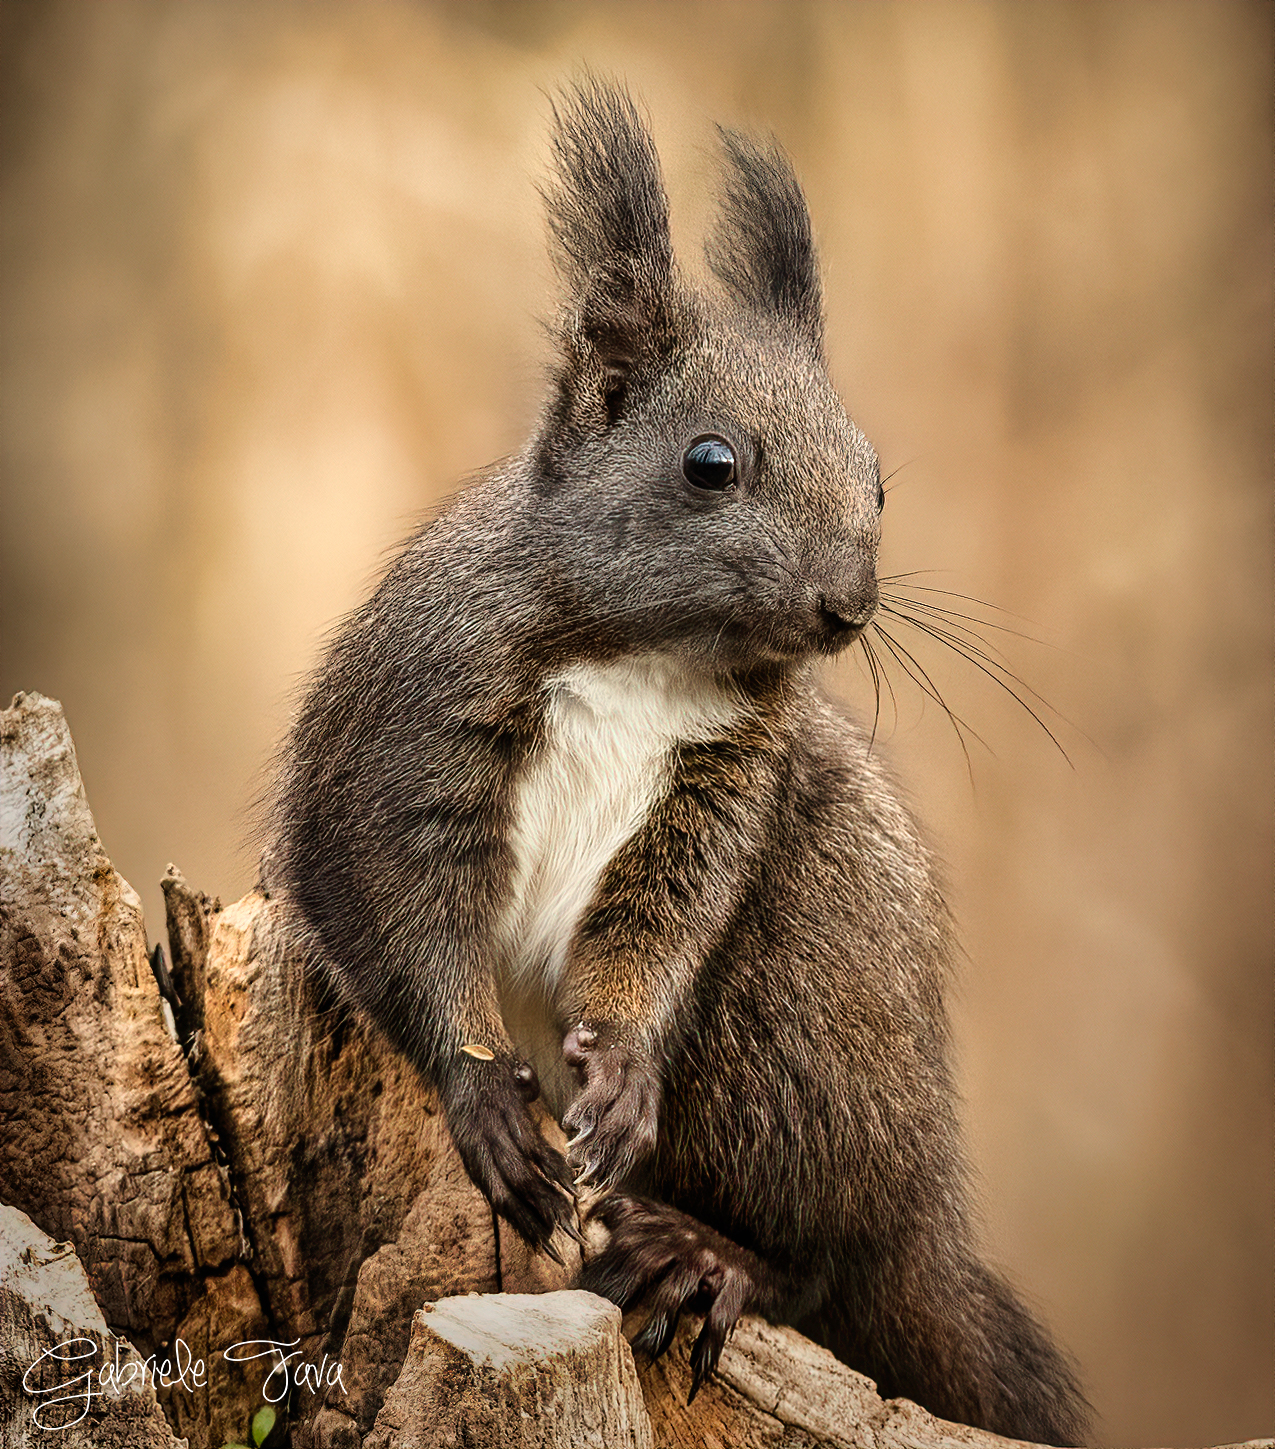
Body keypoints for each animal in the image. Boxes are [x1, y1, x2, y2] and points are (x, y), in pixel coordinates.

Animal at [266, 79, 1089, 1445]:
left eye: (877, 479)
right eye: (710, 463)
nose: (848, 606)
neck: (649, 657)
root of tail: (926, 1210)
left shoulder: (718, 793)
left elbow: (659, 927)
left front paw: (621, 1069)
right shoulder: (415, 730)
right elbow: (409, 906)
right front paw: (484, 1095)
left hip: (803, 1009)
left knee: (819, 1262)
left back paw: (702, 1255)